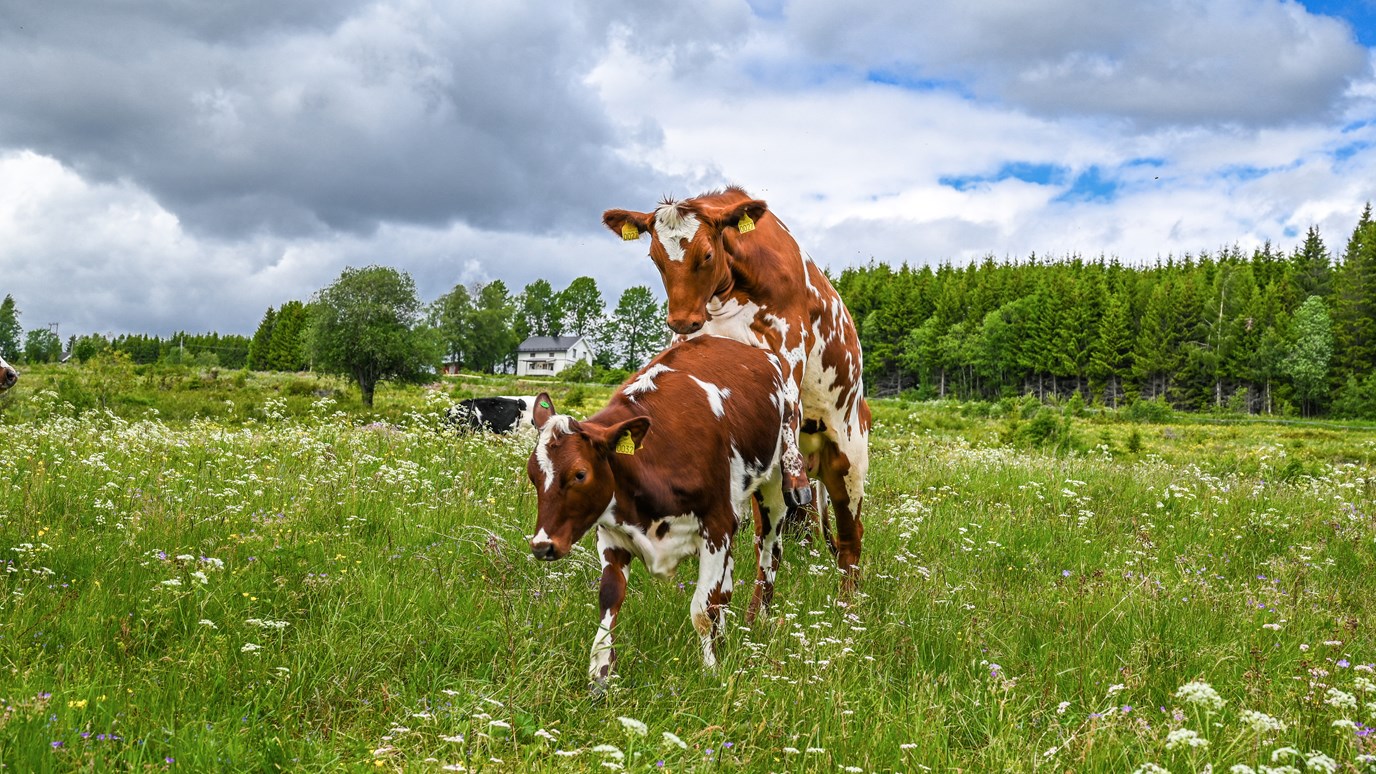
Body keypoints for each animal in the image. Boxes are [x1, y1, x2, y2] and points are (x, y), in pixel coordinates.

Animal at [522, 334, 792, 683]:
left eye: (580, 474)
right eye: (533, 474)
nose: (542, 546)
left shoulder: (716, 526)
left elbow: (702, 608)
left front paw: (711, 670)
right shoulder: (612, 534)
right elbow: (609, 599)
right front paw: (600, 672)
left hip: (775, 484)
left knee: (769, 552)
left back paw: (758, 619)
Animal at [605, 187, 869, 583]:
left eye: (706, 254)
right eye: (654, 257)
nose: (681, 320)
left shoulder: (790, 342)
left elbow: (789, 399)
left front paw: (793, 475)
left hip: (849, 463)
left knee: (849, 543)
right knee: (775, 538)